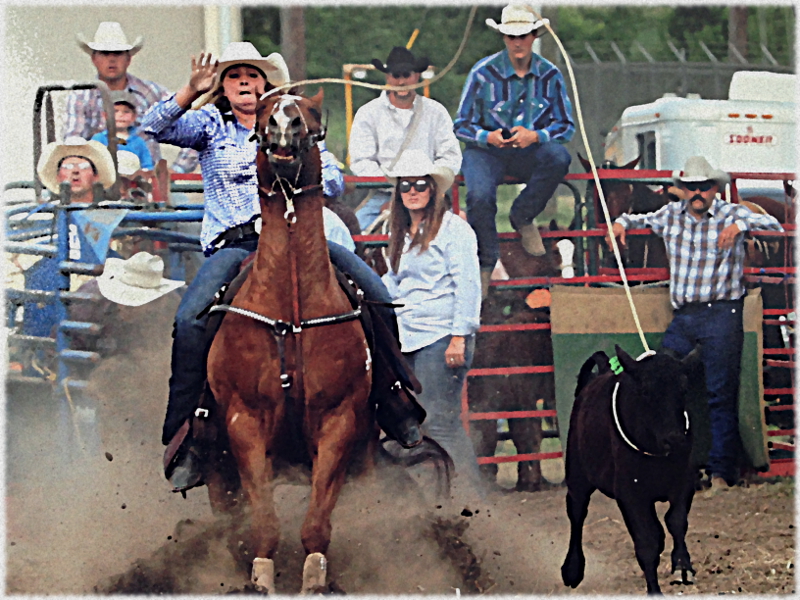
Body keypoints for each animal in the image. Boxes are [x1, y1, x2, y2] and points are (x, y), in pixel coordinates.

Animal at [203, 90, 372, 596]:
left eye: (311, 115)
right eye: (264, 114)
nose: (284, 123)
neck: (292, 310)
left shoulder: (339, 420)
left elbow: (316, 523)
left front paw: (315, 578)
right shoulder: (244, 422)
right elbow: (262, 523)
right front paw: (259, 577)